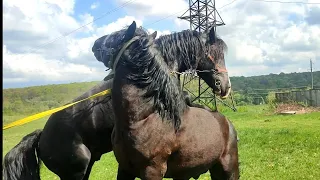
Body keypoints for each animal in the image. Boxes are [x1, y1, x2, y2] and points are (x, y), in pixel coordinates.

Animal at [110, 20, 238, 180]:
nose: (226, 87)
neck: (145, 117)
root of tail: (228, 123)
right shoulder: (124, 169)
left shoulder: (152, 170)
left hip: (229, 170)